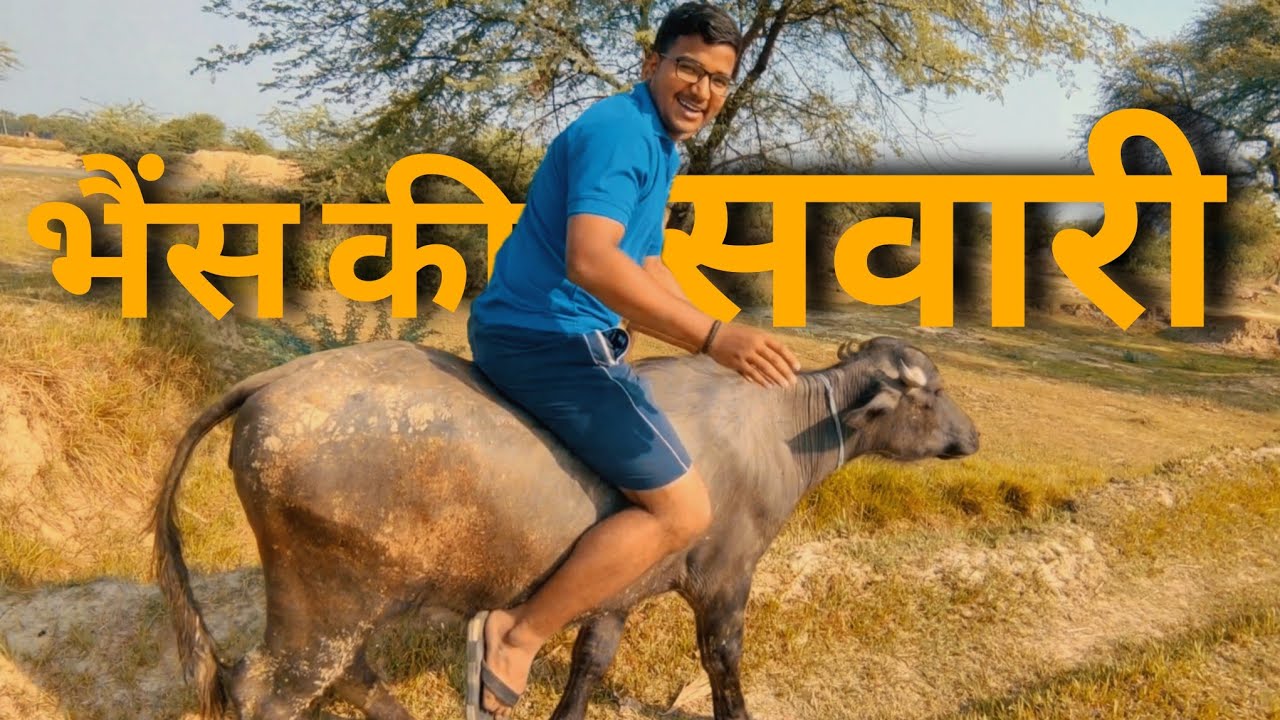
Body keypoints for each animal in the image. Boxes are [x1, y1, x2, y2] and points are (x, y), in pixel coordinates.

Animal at [153, 335, 978, 720]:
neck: (779, 428)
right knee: (272, 688)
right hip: (324, 601)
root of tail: (274, 383)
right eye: (931, 393)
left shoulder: (622, 587)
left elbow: (592, 659)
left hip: (337, 603)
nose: (970, 436)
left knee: (348, 674)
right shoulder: (725, 580)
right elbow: (722, 661)